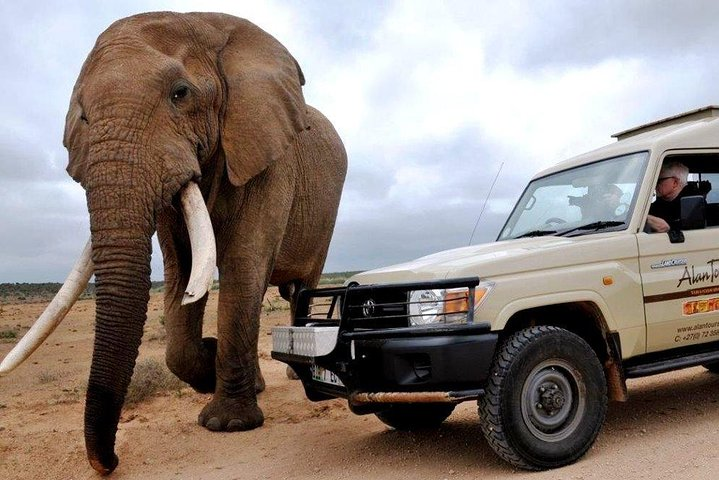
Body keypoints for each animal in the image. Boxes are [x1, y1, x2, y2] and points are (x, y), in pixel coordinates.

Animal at [0, 11, 348, 476]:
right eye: (83, 116)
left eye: (180, 94)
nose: (108, 463)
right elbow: (182, 270)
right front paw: (208, 363)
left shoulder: (268, 154)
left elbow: (243, 264)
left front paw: (228, 424)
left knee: (300, 288)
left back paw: (295, 374)